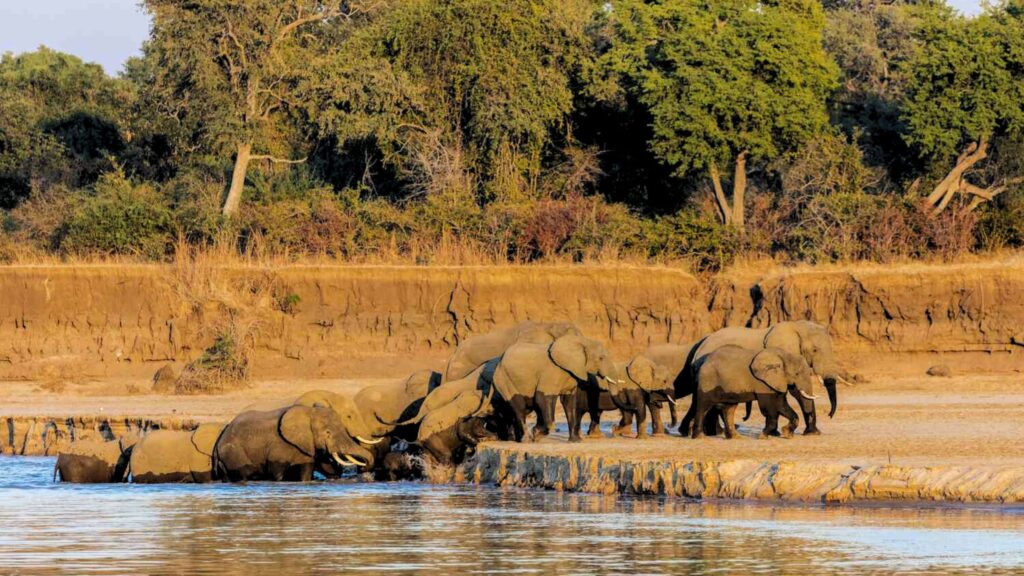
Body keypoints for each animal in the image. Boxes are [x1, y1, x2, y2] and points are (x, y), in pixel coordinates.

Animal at [212, 403, 376, 479]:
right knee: (243, 473)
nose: (365, 470)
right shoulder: (278, 445)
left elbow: (307, 471)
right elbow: (277, 473)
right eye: (328, 432)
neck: (309, 412)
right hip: (233, 452)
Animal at [679, 317, 839, 434]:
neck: (796, 325)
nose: (830, 415)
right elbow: (795, 392)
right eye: (815, 350)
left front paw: (812, 433)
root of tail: (698, 347)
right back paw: (714, 432)